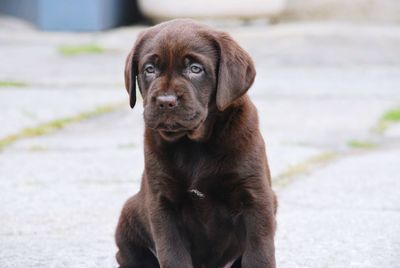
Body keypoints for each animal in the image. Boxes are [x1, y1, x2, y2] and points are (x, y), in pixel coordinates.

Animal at [117, 19, 276, 268]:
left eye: (195, 69)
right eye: (149, 69)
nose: (165, 102)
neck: (193, 144)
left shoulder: (255, 198)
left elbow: (259, 253)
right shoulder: (162, 204)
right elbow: (173, 255)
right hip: (128, 216)